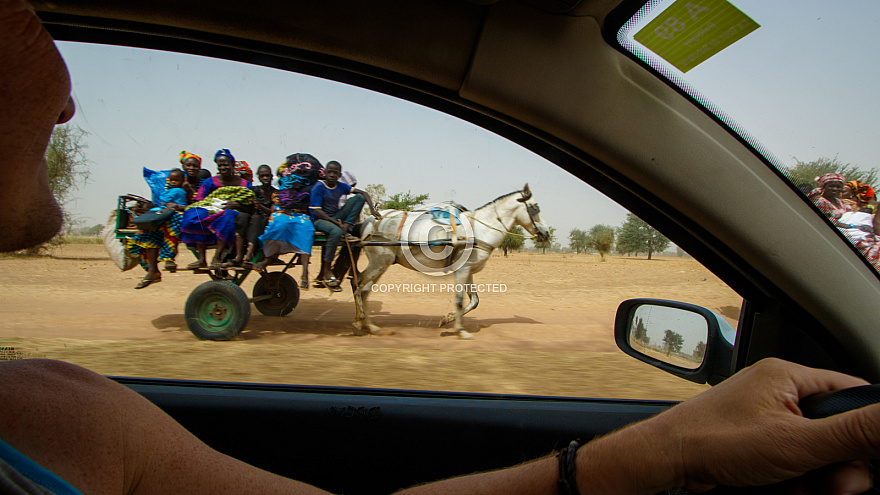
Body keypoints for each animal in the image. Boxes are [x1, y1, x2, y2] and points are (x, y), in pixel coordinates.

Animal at [352, 184, 548, 340]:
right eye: (534, 208)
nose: (546, 233)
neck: (480, 229)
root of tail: (369, 220)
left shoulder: (468, 271)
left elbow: (475, 301)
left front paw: (448, 318)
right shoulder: (462, 270)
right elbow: (460, 300)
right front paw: (460, 330)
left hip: (382, 264)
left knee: (364, 291)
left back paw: (369, 326)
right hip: (379, 262)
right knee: (357, 283)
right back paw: (358, 321)